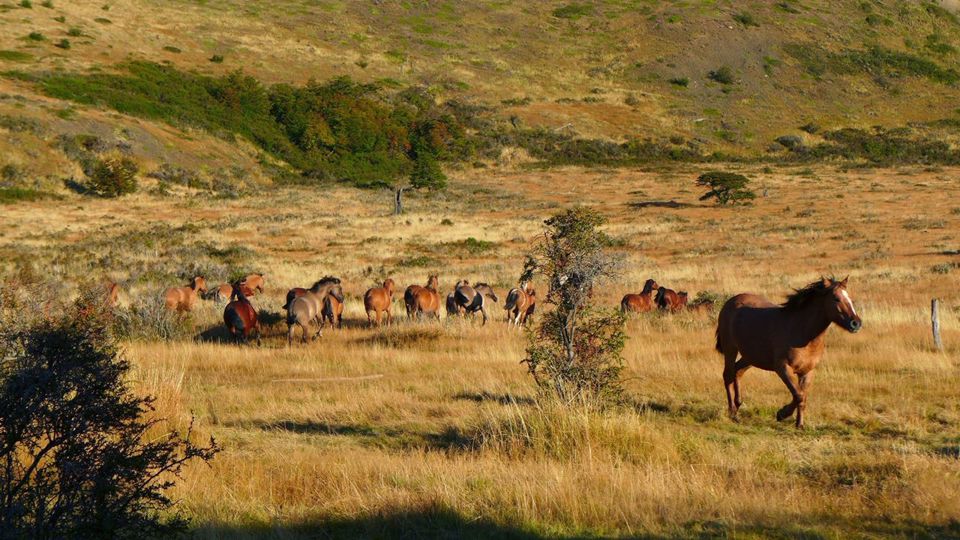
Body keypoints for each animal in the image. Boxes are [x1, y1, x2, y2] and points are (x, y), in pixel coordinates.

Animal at [715, 277, 861, 429]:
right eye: (836, 298)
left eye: (849, 298)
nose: (856, 323)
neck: (803, 331)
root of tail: (731, 301)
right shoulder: (783, 368)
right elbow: (798, 395)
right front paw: (783, 414)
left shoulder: (807, 371)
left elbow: (801, 396)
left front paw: (799, 424)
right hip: (731, 349)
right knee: (728, 375)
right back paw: (732, 412)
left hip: (751, 356)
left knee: (737, 371)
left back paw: (738, 404)